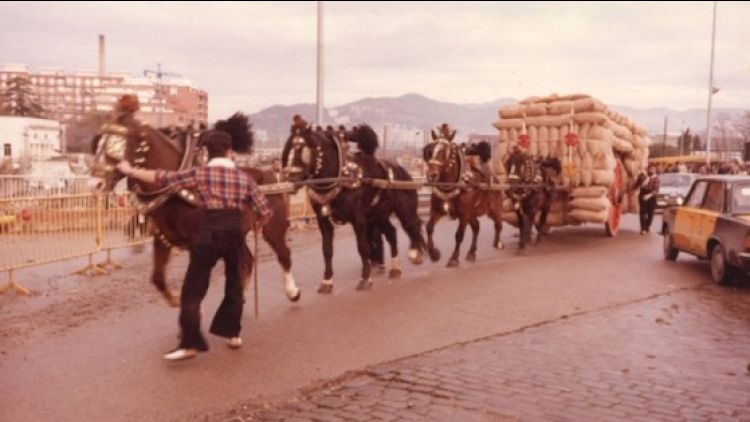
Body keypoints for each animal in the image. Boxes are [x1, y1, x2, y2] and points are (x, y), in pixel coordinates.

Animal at [282, 115, 432, 294]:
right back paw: (395, 268)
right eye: (288, 149)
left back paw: (417, 254)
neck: (340, 176)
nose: (290, 179)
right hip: (379, 215)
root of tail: (403, 172)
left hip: (403, 209)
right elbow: (327, 250)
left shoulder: (358, 218)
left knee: (412, 225)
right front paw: (327, 281)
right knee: (391, 233)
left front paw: (365, 278)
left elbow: (363, 247)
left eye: (302, 149)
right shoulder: (323, 219)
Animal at [424, 129, 506, 268]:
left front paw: (453, 258)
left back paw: (498, 243)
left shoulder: (463, 214)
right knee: (476, 226)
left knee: (498, 224)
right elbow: (429, 227)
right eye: (431, 150)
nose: (432, 175)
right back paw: (472, 252)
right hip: (471, 213)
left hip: (494, 207)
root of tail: (494, 179)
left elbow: (459, 235)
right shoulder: (437, 210)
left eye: (444, 151)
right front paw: (434, 254)